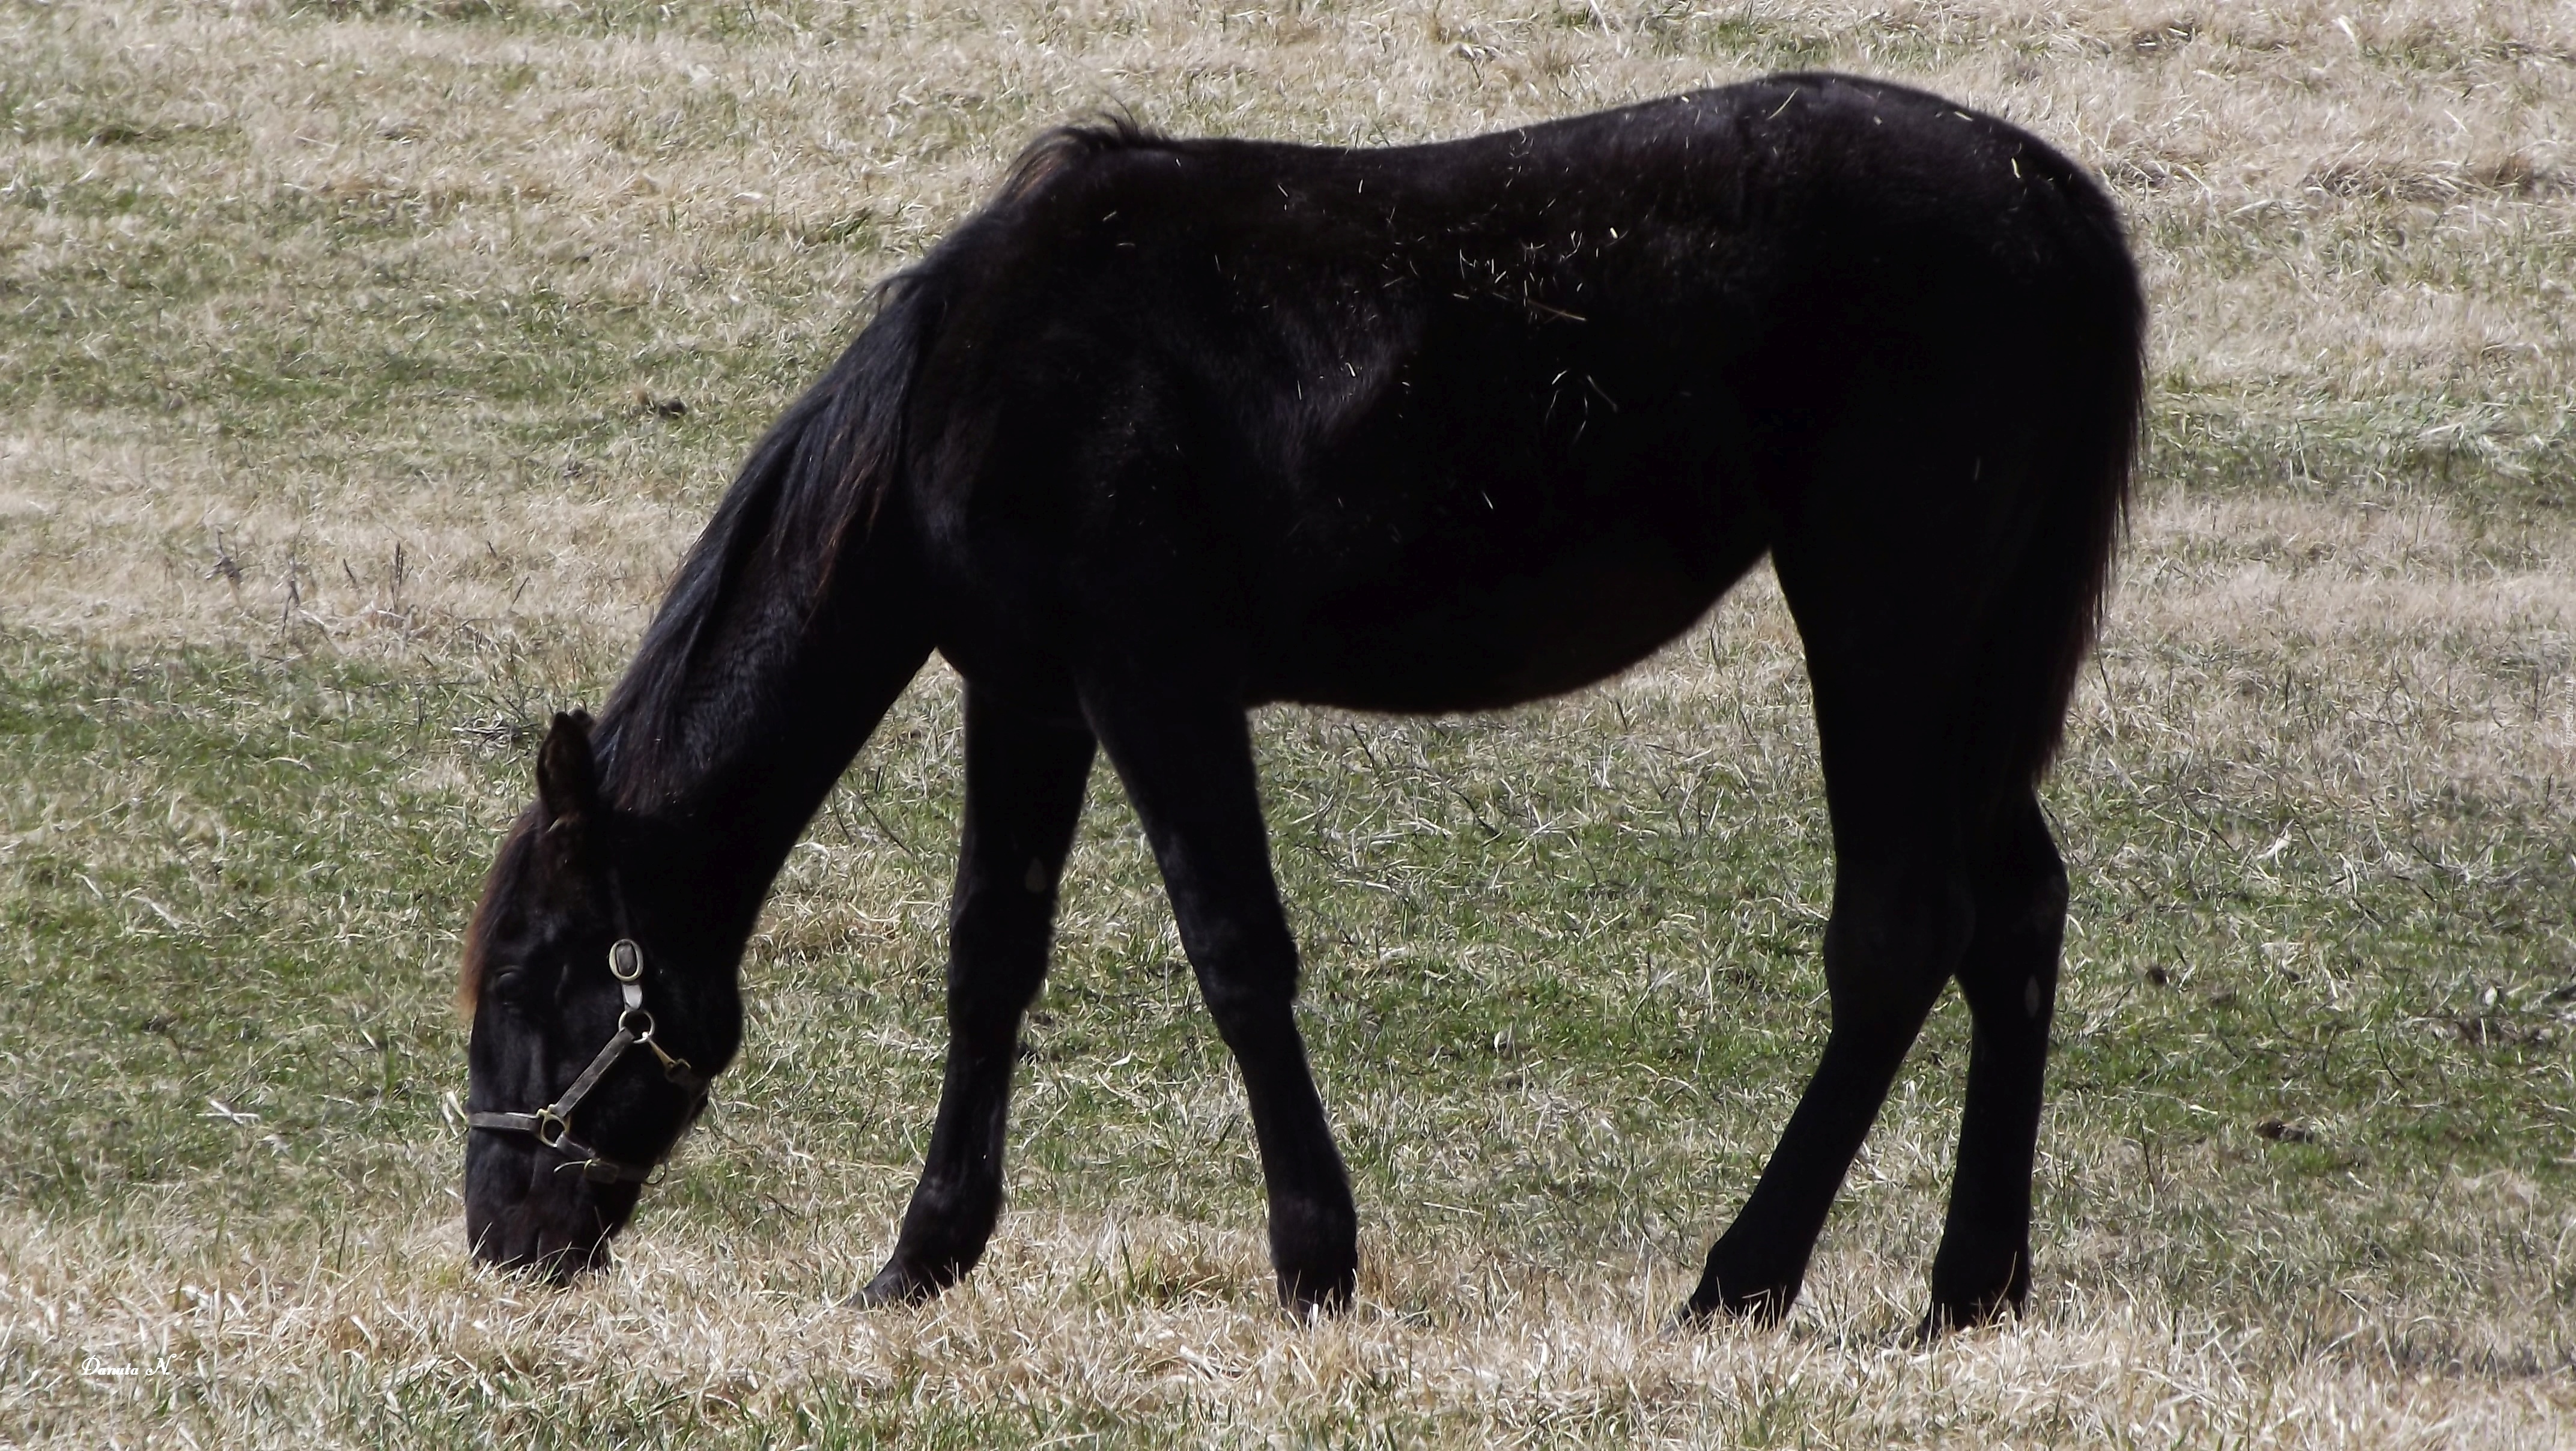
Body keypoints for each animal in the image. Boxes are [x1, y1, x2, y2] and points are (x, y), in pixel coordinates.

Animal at [453, 73, 2143, 1330]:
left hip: (1886, 620)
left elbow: (1235, 954)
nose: (502, 1238)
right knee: (2013, 919)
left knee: (1898, 932)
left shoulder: (1154, 681)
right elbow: (990, 958)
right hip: (1967, 662)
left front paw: (1313, 1259)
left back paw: (1740, 1279)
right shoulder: (1031, 695)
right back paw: (1965, 1289)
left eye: (536, 977)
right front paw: (921, 1256)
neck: (978, 376)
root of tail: (2049, 197)